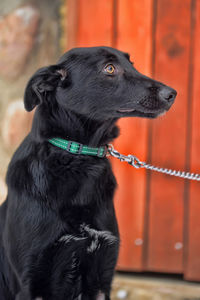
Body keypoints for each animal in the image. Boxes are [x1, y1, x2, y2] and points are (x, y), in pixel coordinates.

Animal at [0, 45, 176, 298]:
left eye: (131, 63)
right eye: (109, 68)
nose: (172, 94)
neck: (79, 159)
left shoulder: (101, 274)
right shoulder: (28, 282)